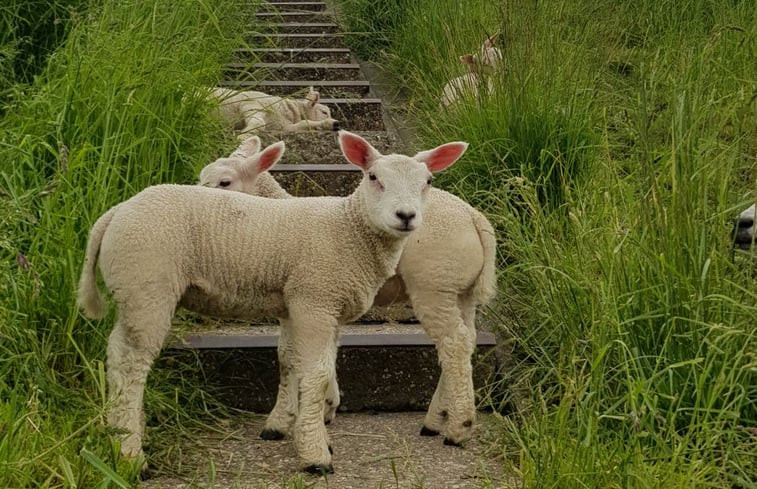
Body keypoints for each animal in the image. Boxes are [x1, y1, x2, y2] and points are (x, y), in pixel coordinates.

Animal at [78, 127, 466, 470]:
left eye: (428, 182)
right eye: (373, 177)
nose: (406, 216)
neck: (349, 227)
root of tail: (115, 213)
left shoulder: (311, 306)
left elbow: (302, 365)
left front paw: (304, 430)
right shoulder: (314, 300)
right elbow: (316, 373)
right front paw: (314, 454)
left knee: (118, 354)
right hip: (147, 284)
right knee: (131, 365)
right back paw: (130, 455)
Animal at [198, 133, 500, 446]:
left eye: (224, 182)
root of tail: (476, 219)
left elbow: (287, 356)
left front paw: (280, 422)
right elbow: (322, 351)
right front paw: (326, 407)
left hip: (434, 283)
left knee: (454, 343)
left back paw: (458, 427)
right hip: (461, 291)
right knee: (466, 340)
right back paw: (438, 418)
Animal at [207, 85, 336, 139]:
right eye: (324, 112)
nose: (337, 123)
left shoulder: (283, 127)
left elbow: (303, 123)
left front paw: (329, 124)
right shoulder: (252, 105)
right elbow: (259, 123)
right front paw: (243, 135)